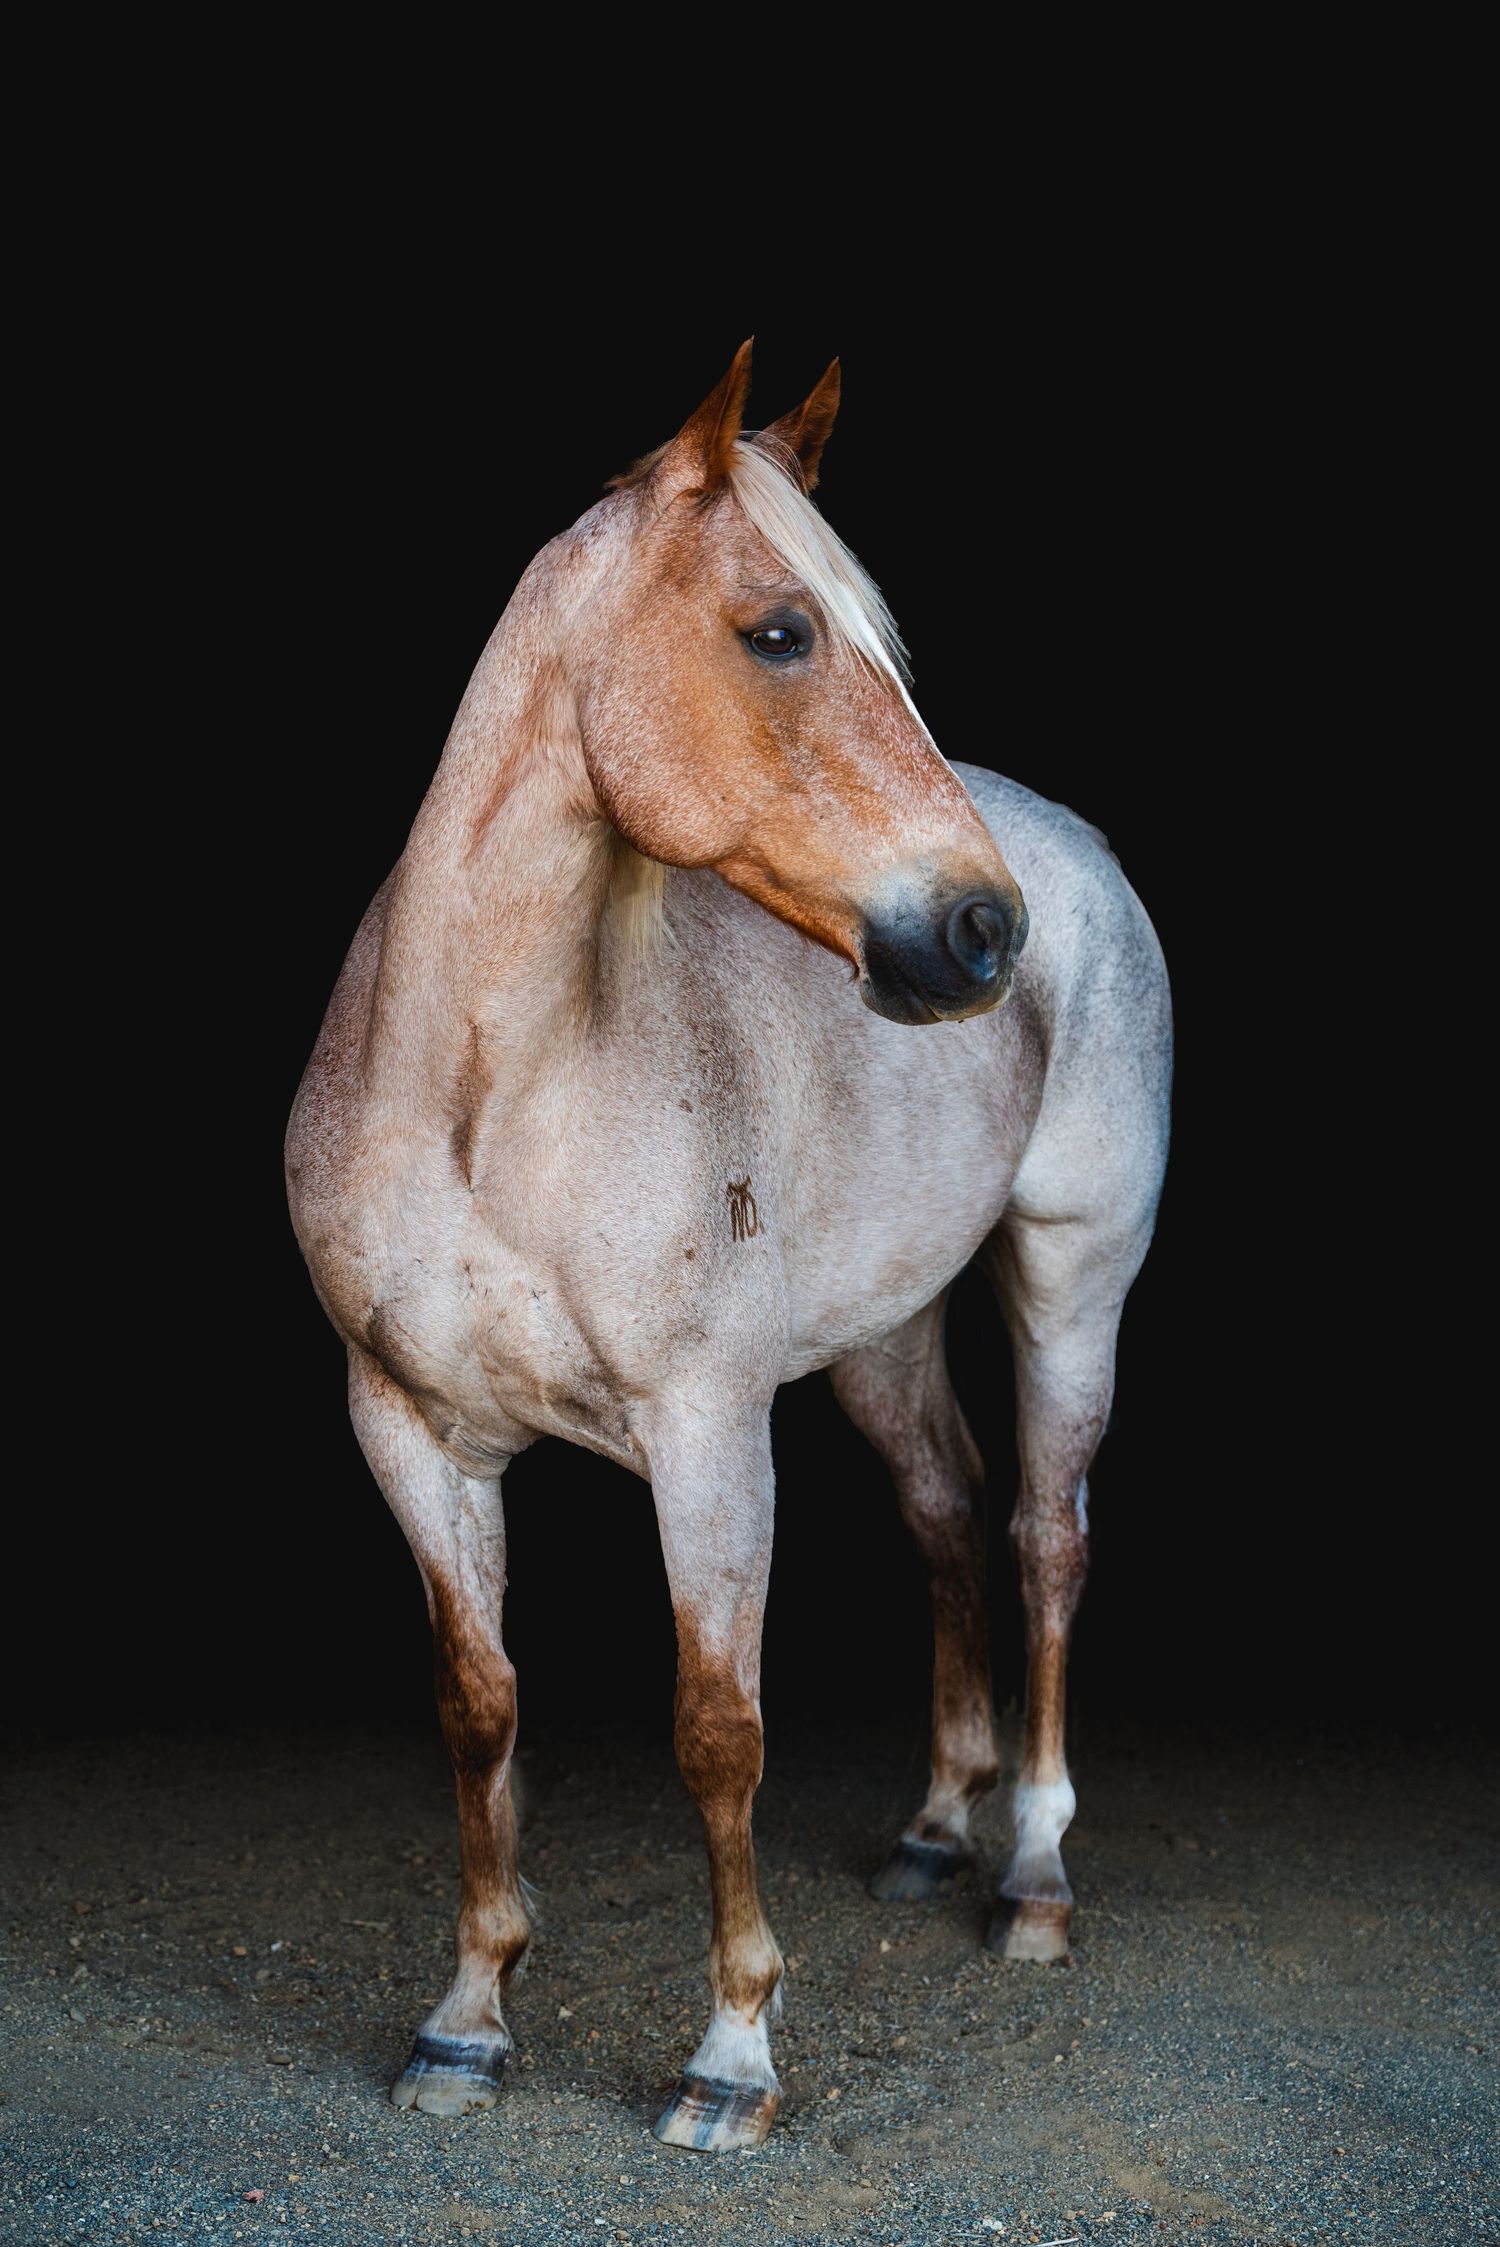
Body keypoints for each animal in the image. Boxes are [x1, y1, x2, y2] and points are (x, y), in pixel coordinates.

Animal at [285, 342, 1172, 2154]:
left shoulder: (707, 1438)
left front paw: (731, 2057)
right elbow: (479, 1706)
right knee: (947, 1510)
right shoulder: (407, 1430)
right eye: (779, 631)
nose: (977, 930)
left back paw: (1032, 1877)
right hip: (884, 1332)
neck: (485, 1094)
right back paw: (933, 1832)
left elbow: (718, 1731)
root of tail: (1077, 852)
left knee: (1045, 1534)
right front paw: (466, 2021)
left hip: (1072, 1280)